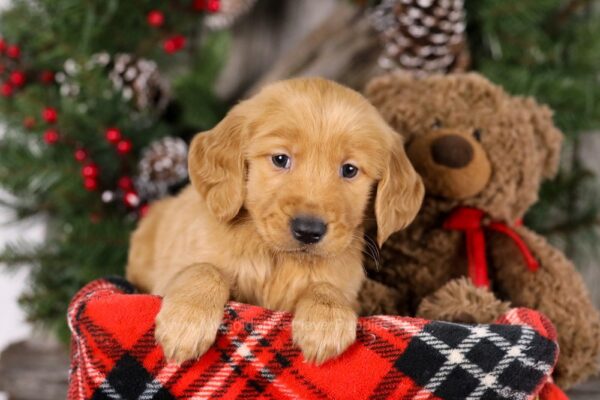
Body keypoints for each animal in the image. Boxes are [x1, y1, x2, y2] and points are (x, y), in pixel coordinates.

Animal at [125, 77, 422, 366]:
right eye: (280, 159)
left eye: (349, 170)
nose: (308, 231)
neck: (277, 259)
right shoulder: (172, 272)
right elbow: (202, 269)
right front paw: (186, 322)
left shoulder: (348, 287)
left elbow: (327, 286)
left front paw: (327, 319)